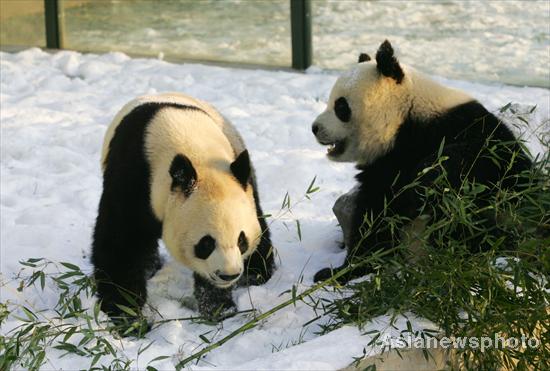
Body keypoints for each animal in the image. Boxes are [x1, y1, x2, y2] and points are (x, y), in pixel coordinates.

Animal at [95, 93, 278, 332]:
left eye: (241, 240)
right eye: (206, 243)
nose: (228, 274)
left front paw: (219, 308)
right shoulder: (133, 178)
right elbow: (121, 246)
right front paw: (128, 316)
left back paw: (256, 273)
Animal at [312, 40, 532, 284]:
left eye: (341, 107)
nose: (315, 128)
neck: (405, 118)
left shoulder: (466, 129)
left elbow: (487, 163)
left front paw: (429, 177)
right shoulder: (385, 167)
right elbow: (375, 219)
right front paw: (338, 272)